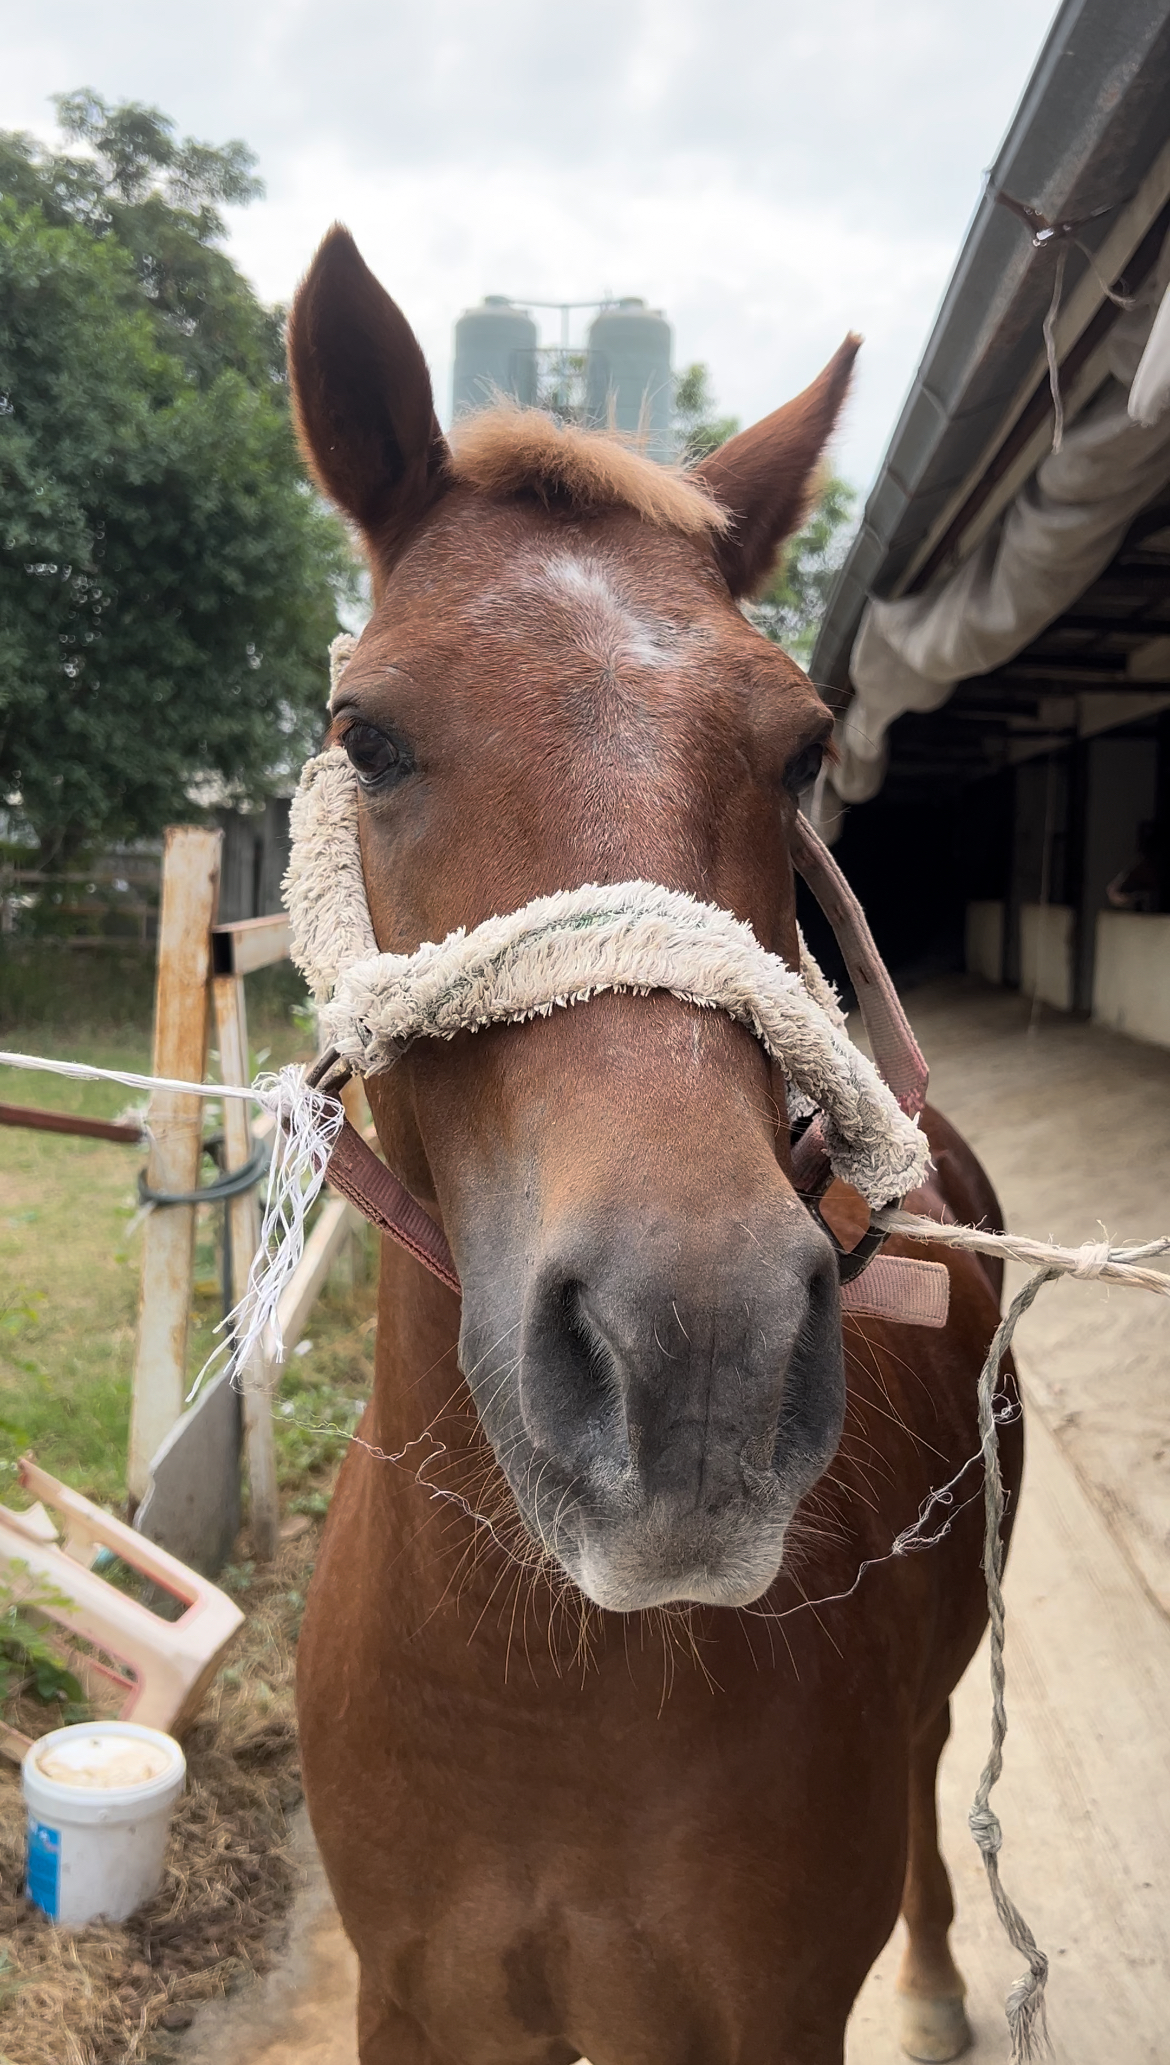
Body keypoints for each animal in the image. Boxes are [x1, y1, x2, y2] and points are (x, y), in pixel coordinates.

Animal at [288, 226, 1022, 2065]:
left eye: (804, 746)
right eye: (365, 734)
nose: (694, 1357)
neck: (540, 1694)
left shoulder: (763, 2010)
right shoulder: (416, 2004)